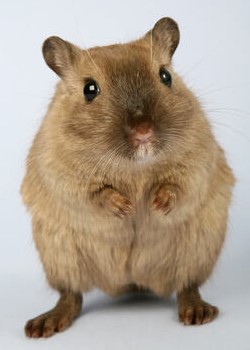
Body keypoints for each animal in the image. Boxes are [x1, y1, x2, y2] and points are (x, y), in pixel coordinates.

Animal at [21, 17, 234, 338]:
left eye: (165, 76)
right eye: (90, 89)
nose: (144, 132)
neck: (134, 166)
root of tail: (131, 281)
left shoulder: (199, 158)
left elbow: (180, 184)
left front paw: (157, 203)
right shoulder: (59, 172)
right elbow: (92, 194)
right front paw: (124, 208)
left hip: (197, 250)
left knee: (187, 285)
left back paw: (197, 311)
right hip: (60, 257)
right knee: (71, 294)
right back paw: (44, 324)